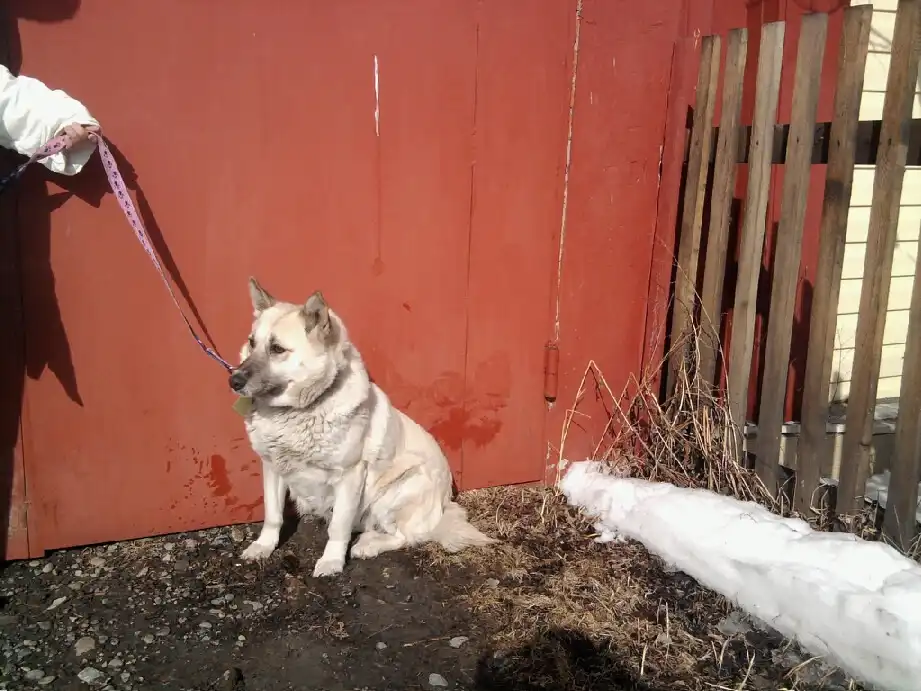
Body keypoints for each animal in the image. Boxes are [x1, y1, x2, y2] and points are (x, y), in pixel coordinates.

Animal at [229, 278, 496, 577]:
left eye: (277, 349)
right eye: (252, 343)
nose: (233, 380)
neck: (301, 409)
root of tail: (444, 503)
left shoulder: (349, 476)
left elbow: (338, 527)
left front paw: (332, 561)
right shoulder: (272, 468)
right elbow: (273, 516)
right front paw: (263, 547)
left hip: (399, 489)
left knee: (404, 536)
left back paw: (367, 546)